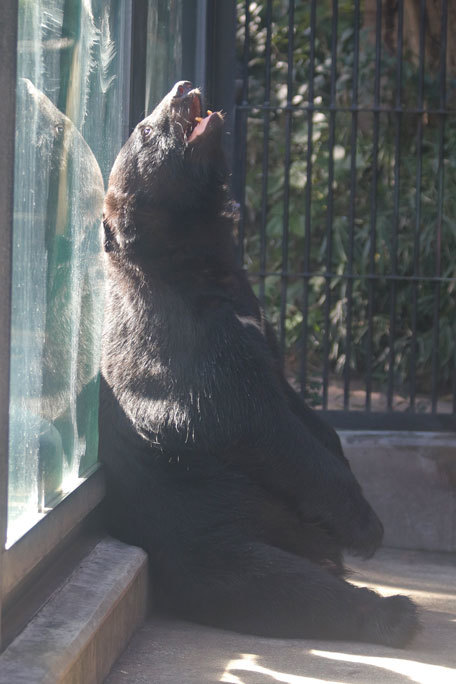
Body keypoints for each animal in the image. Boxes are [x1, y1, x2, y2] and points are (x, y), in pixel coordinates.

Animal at [100, 80, 420, 648]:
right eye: (145, 129)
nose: (182, 86)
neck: (198, 261)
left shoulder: (258, 328)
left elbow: (295, 404)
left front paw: (338, 453)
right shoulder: (187, 346)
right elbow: (254, 422)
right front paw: (365, 523)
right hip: (207, 530)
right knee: (281, 586)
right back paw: (394, 611)